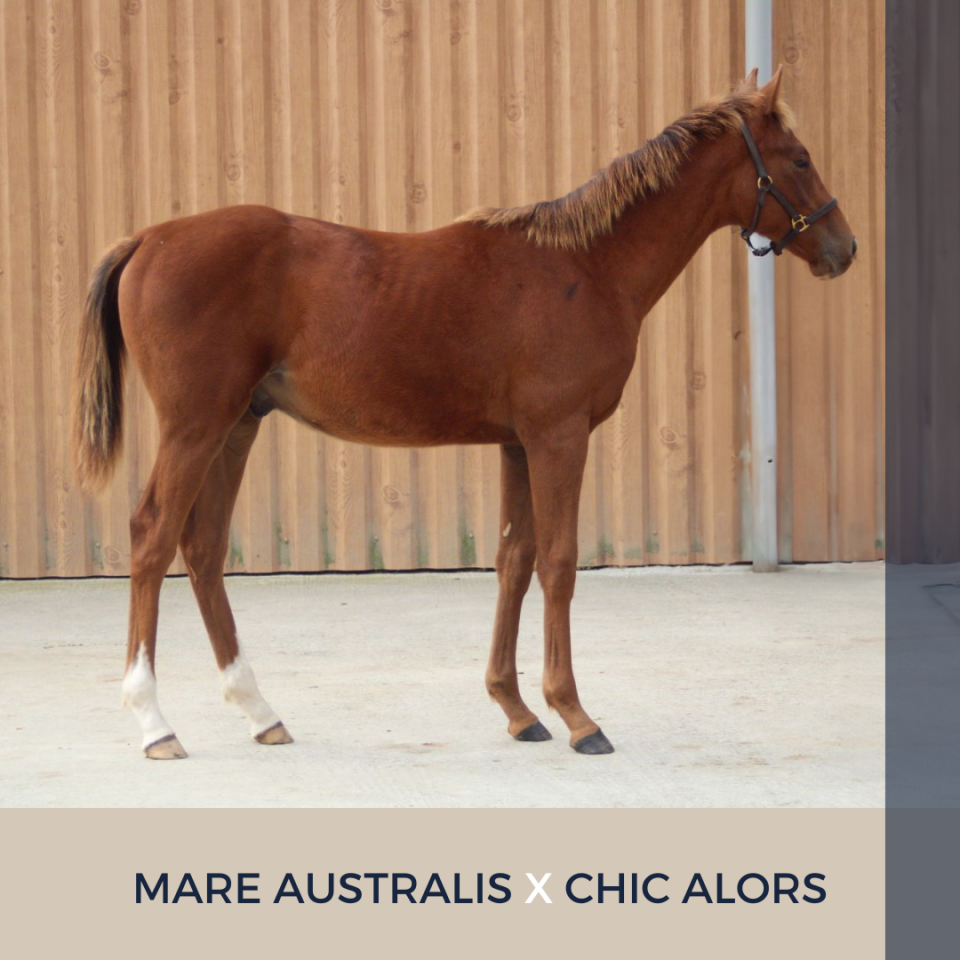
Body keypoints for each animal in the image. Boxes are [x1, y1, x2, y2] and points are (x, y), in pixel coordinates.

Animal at [73, 66, 855, 760]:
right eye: (800, 159)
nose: (843, 248)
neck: (587, 268)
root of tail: (148, 239)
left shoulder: (517, 444)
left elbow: (514, 559)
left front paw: (518, 710)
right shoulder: (558, 438)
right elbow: (559, 563)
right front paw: (576, 716)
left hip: (237, 424)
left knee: (203, 548)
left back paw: (261, 712)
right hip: (194, 426)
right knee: (152, 538)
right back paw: (155, 725)